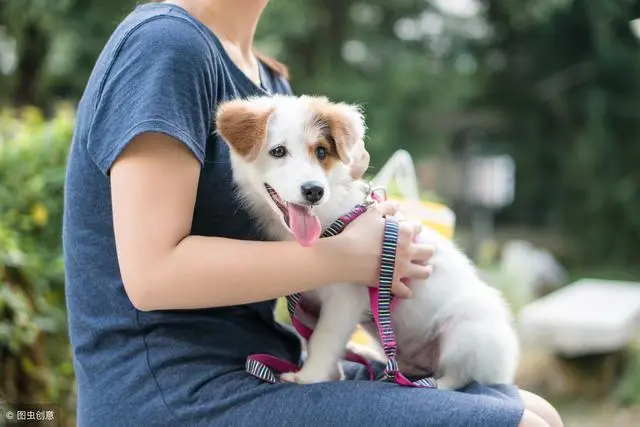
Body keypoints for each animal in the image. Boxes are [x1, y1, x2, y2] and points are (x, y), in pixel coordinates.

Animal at [215, 94, 520, 392]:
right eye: (278, 151)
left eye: (321, 152)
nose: (315, 191)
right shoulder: (310, 303)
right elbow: (316, 338)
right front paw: (330, 373)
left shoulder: (344, 297)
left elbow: (324, 338)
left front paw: (309, 377)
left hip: (467, 333)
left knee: (461, 375)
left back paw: (434, 384)